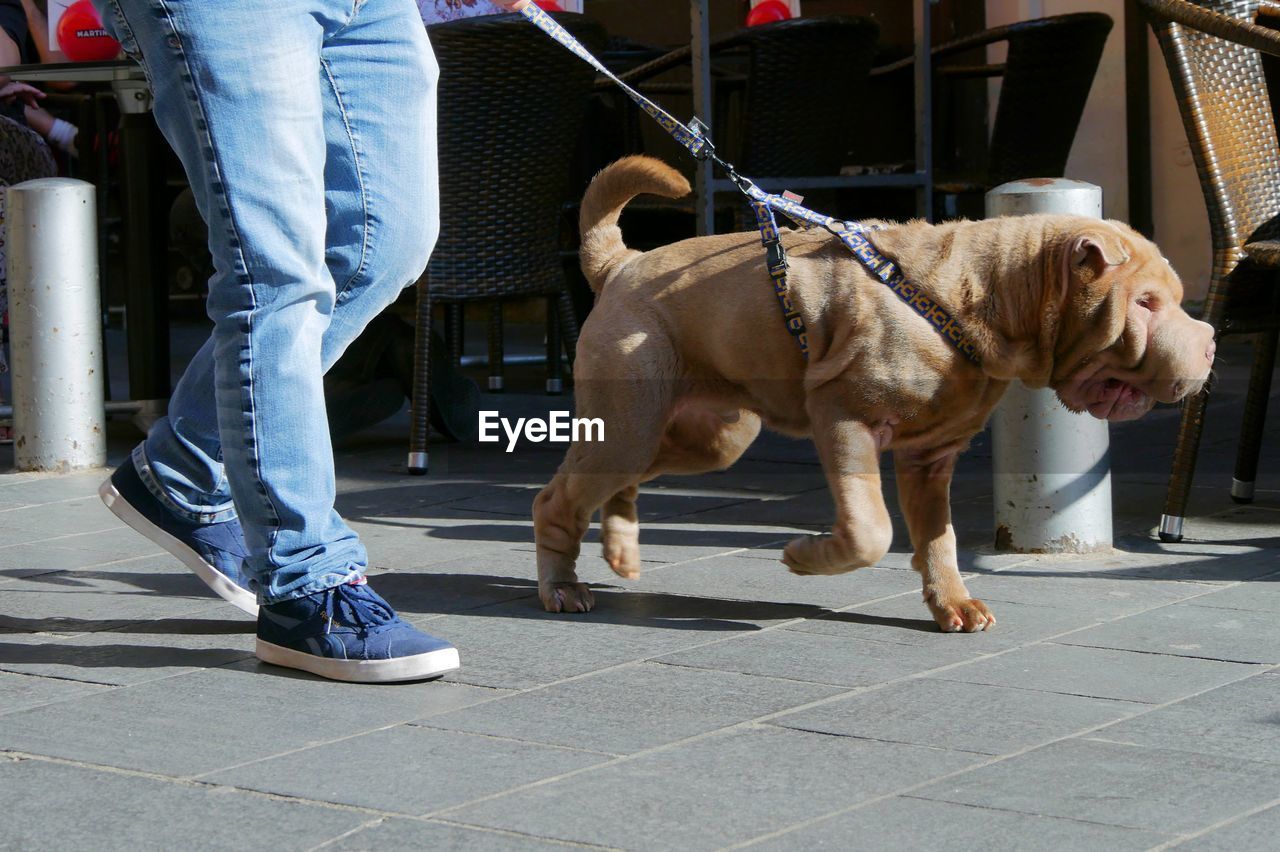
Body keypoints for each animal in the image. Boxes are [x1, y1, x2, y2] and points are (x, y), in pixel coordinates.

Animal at [532, 154, 1218, 629]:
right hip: (631, 419)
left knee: (617, 478)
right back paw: (561, 586)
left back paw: (620, 551)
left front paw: (954, 604)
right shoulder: (845, 419)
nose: (1211, 341)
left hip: (711, 434)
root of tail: (621, 264)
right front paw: (805, 557)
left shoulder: (930, 458)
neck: (983, 297)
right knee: (557, 496)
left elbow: (938, 539)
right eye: (1146, 304)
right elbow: (872, 530)